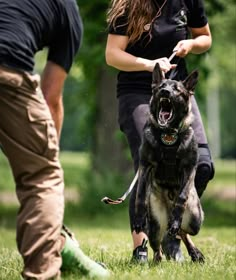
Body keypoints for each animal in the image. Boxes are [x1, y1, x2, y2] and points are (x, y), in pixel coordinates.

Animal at [135, 63, 205, 262]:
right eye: (160, 87)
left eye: (177, 90)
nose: (165, 92)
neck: (168, 135)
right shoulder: (145, 166)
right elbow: (140, 196)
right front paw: (139, 217)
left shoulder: (189, 168)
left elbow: (181, 198)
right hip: (156, 225)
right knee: (158, 243)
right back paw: (157, 259)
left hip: (195, 219)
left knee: (183, 230)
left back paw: (194, 251)